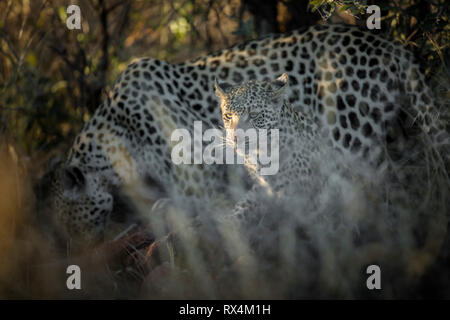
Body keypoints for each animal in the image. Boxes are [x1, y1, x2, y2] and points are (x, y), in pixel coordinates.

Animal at [45, 23, 446, 246]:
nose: (79, 251)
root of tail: (390, 44)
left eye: (75, 223)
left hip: (348, 133)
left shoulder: (198, 176)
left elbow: (200, 206)